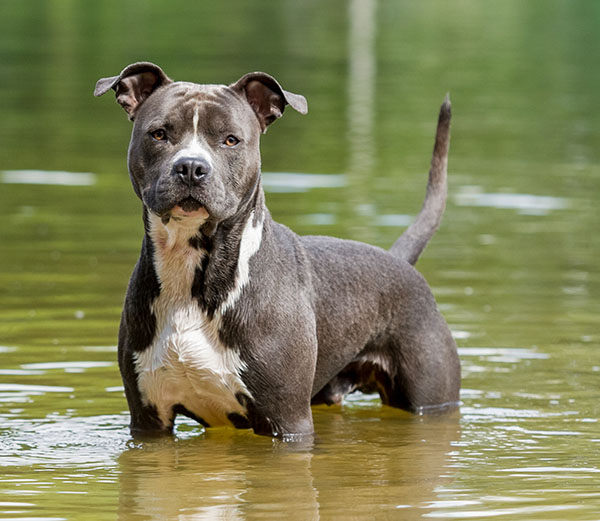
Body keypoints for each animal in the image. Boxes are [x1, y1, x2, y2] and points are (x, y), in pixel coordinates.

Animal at [95, 62, 460, 438]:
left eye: (230, 139)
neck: (193, 269)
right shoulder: (149, 419)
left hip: (430, 398)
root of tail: (400, 262)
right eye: (159, 134)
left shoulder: (287, 420)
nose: (192, 167)